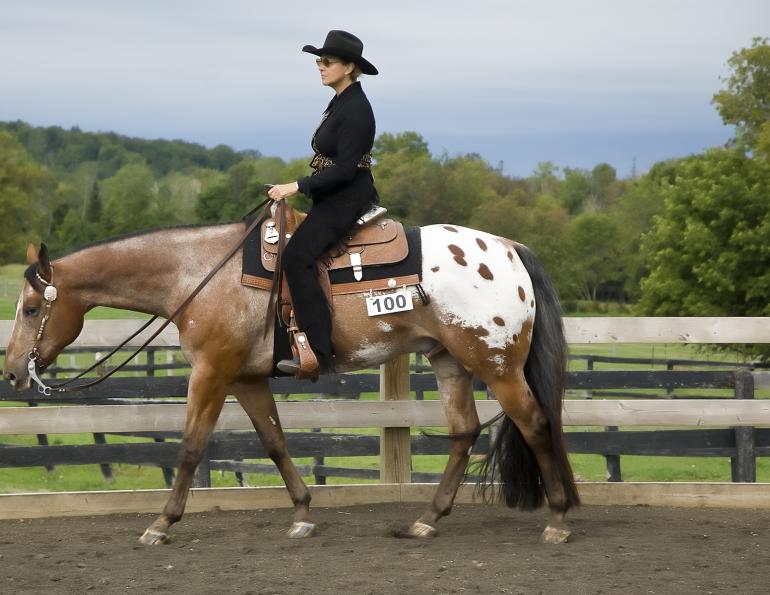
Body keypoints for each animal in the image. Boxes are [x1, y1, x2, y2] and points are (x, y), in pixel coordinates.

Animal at [2, 217, 580, 545]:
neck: (200, 273)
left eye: (31, 308)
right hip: (449, 361)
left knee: (534, 423)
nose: (11, 372)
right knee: (463, 432)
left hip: (496, 363)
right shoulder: (245, 379)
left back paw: (556, 521)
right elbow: (275, 442)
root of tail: (508, 248)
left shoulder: (210, 372)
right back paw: (427, 520)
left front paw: (161, 524)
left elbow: (190, 448)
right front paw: (302, 513)